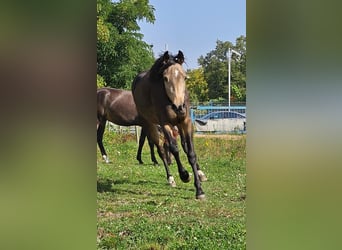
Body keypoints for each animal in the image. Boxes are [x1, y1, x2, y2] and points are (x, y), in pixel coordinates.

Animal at [132, 50, 207, 199]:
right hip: (150, 124)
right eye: (165, 78)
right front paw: (184, 175)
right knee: (160, 149)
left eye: (185, 78)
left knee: (182, 145)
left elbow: (190, 152)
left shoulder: (185, 122)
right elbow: (174, 148)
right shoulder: (164, 123)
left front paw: (199, 189)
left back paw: (200, 173)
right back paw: (171, 178)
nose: (179, 107)